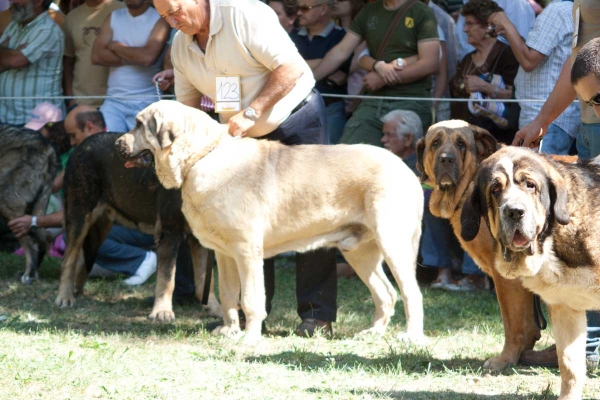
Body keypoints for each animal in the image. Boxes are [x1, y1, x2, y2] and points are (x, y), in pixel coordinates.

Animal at [54, 133, 220, 320]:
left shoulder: (201, 240)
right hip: (79, 216)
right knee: (68, 260)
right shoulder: (169, 233)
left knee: (84, 259)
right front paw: (162, 311)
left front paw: (216, 309)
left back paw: (77, 293)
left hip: (100, 228)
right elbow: (167, 278)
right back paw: (65, 297)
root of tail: (80, 146)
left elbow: (205, 280)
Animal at [117, 101, 424, 344]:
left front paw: (250, 338)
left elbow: (251, 299)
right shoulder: (224, 254)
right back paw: (372, 333)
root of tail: (407, 169)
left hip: (392, 243)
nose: (118, 144)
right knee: (386, 294)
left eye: (139, 124)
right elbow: (228, 294)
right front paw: (230, 330)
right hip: (359, 252)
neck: (203, 156)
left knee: (411, 293)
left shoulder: (246, 251)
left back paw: (411, 337)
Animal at [414, 120, 540, 370]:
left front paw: (505, 359)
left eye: (461, 144)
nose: (446, 159)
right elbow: (528, 323)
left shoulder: (506, 278)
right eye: (436, 143)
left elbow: (513, 323)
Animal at [462, 147, 596, 400]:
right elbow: (569, 363)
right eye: (495, 189)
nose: (515, 212)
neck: (553, 236)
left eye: (530, 185)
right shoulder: (565, 306)